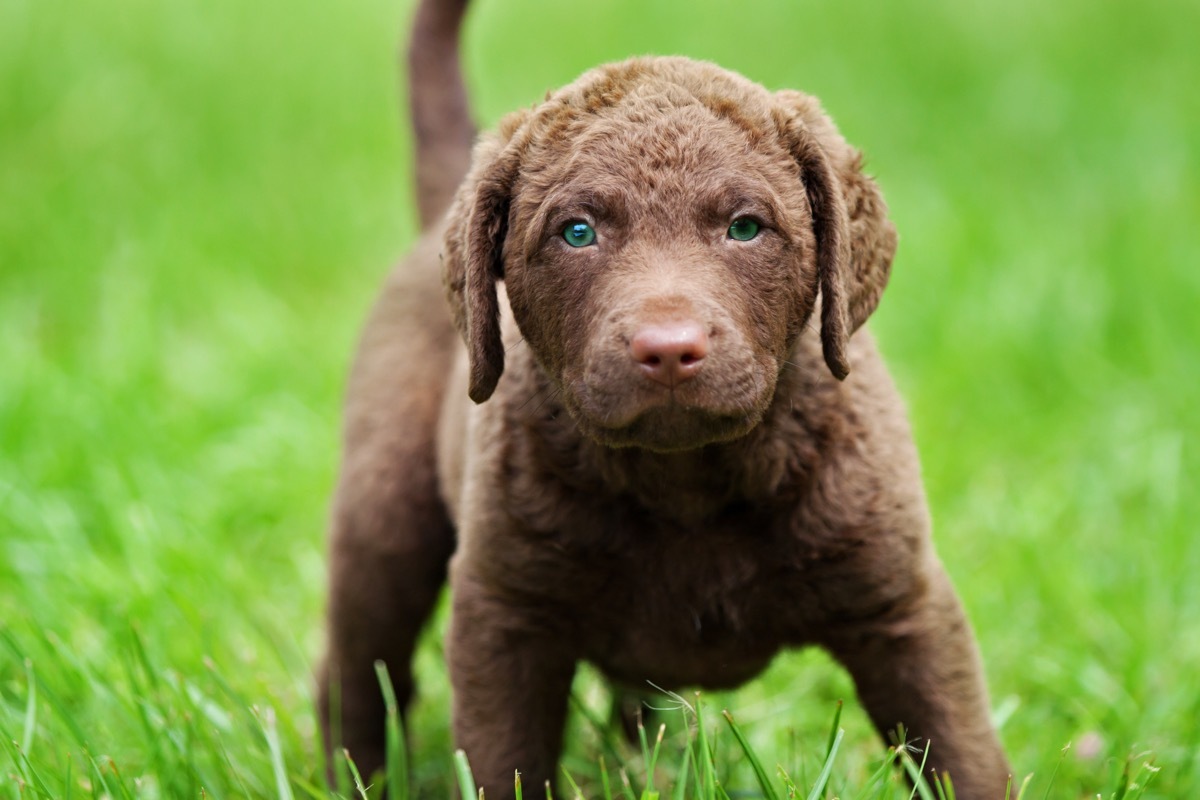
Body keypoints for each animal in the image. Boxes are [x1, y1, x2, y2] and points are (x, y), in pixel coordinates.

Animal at [319, 0, 1012, 796]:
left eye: (746, 227)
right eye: (577, 232)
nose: (669, 349)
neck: (689, 483)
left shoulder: (905, 609)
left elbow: (961, 752)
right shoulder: (504, 616)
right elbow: (503, 763)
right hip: (384, 512)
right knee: (360, 671)